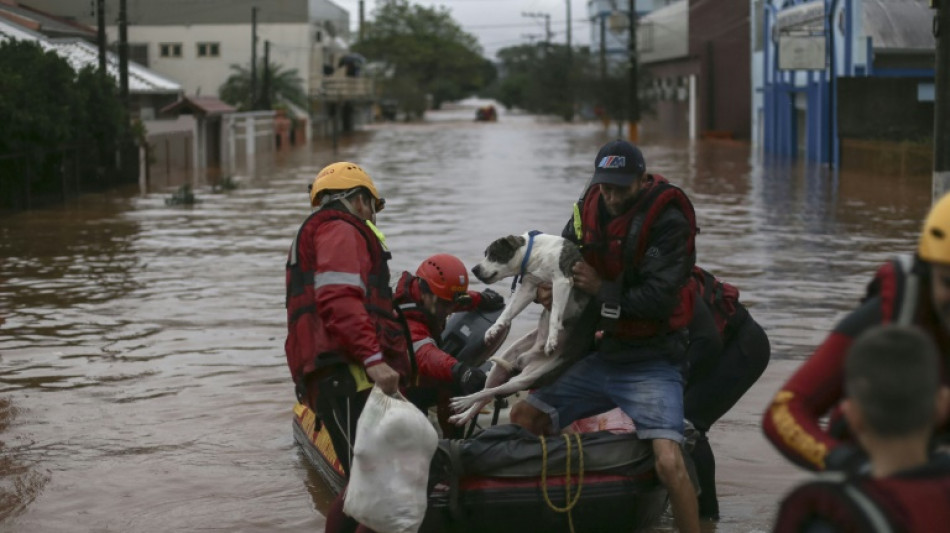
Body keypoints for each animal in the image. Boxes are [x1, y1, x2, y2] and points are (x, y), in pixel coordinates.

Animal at [450, 233, 592, 424]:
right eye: (486, 254)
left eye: (494, 254)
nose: (474, 269)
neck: (536, 254)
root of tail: (524, 360)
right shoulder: (529, 288)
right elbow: (508, 311)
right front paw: (494, 329)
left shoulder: (561, 282)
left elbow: (555, 314)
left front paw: (551, 340)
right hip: (501, 366)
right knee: (486, 394)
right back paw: (463, 414)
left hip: (525, 379)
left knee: (490, 392)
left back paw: (463, 402)